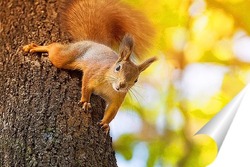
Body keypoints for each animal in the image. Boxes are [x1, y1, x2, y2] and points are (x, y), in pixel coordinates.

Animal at [23, 0, 156, 133]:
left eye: (136, 80)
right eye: (118, 68)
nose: (122, 85)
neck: (109, 85)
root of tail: (92, 42)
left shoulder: (118, 98)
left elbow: (112, 112)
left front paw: (105, 124)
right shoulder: (94, 72)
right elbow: (86, 86)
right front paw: (85, 102)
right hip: (67, 56)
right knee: (53, 48)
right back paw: (33, 47)